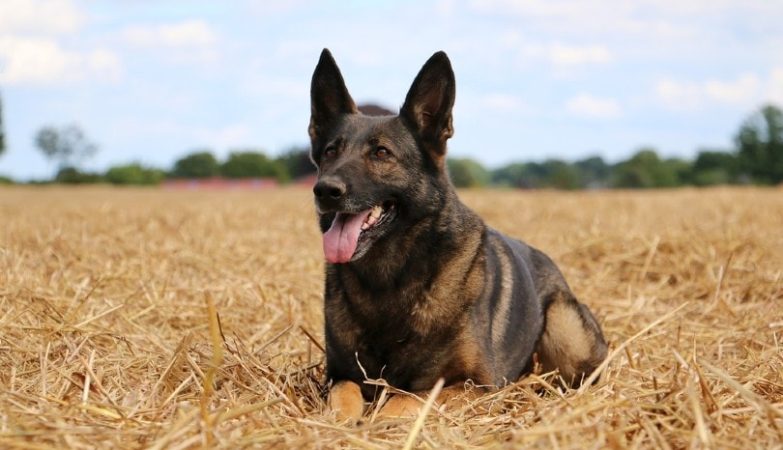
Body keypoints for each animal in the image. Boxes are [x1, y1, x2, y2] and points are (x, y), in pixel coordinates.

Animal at [310, 48, 608, 418]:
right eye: (330, 151)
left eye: (381, 153)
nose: (325, 190)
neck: (390, 278)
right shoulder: (339, 375)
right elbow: (344, 397)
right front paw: (342, 422)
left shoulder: (476, 385)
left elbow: (405, 399)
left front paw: (381, 419)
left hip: (565, 329)